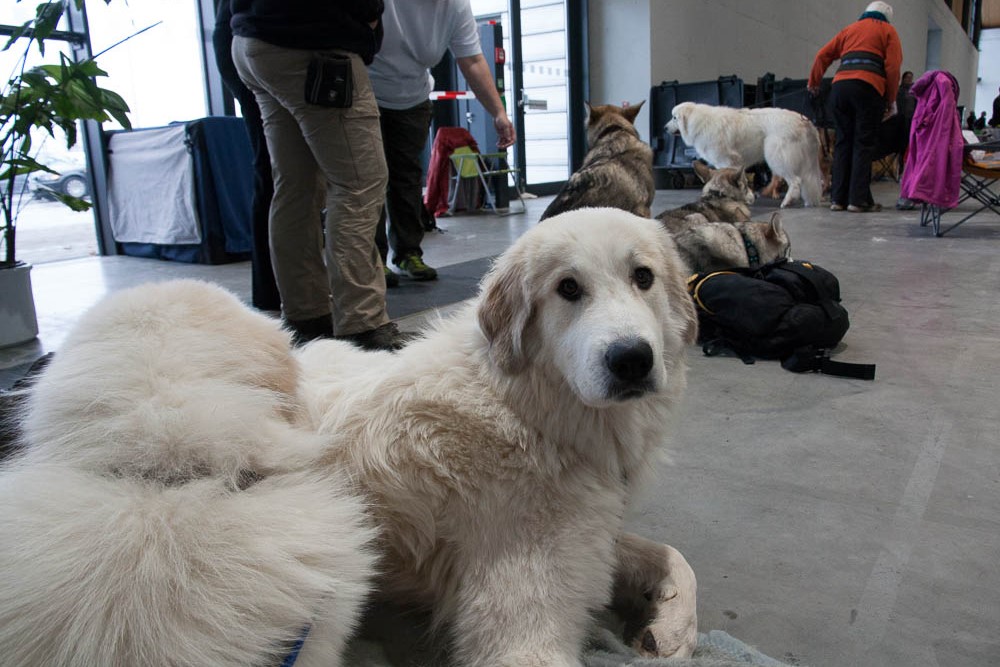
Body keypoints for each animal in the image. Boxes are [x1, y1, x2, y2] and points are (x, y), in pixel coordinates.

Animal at [0, 207, 700, 664]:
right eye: (567, 289)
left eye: (643, 277)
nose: (631, 360)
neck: (527, 408)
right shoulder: (521, 627)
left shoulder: (590, 528)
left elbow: (671, 556)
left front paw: (670, 623)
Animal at [668, 102, 824, 209]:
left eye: (674, 118)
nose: (665, 128)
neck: (699, 121)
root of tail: (805, 121)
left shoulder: (727, 161)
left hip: (778, 157)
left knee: (795, 181)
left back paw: (787, 201)